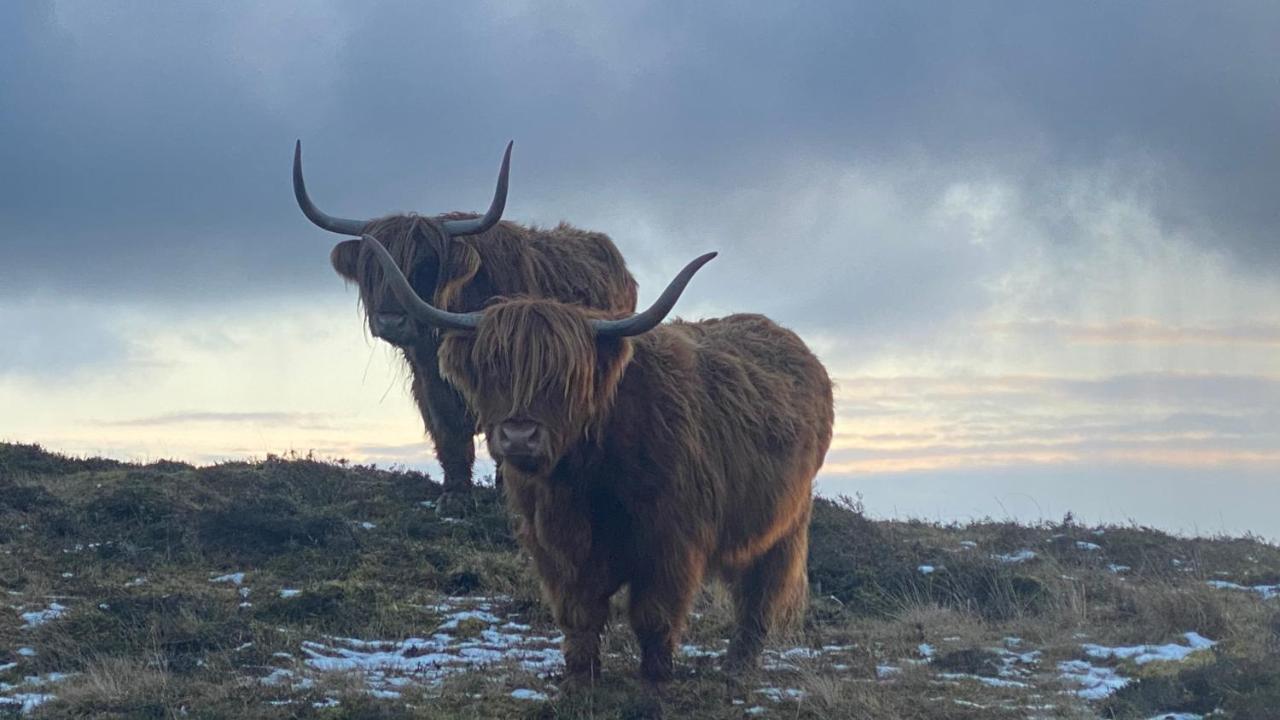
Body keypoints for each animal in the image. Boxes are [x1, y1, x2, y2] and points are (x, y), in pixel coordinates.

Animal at [293, 140, 637, 499]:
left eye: (426, 265)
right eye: (370, 267)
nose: (390, 321)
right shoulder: (430, 387)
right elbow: (451, 438)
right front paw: (454, 494)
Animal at [363, 234, 839, 676]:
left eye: (565, 376)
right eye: (492, 367)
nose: (519, 436)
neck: (585, 475)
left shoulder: (671, 542)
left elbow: (654, 619)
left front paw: (654, 681)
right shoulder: (556, 547)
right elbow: (579, 616)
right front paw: (580, 677)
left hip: (783, 524)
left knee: (759, 594)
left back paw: (738, 666)